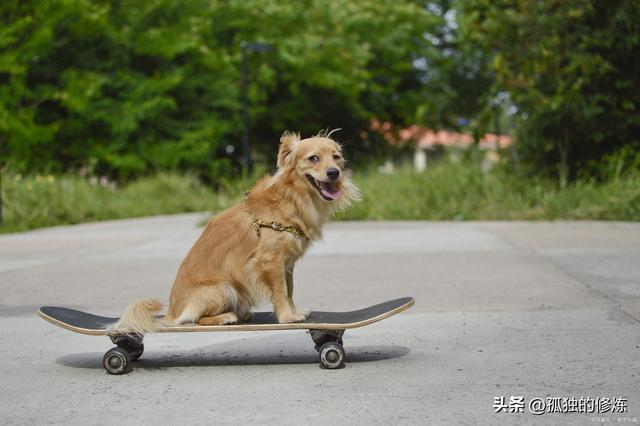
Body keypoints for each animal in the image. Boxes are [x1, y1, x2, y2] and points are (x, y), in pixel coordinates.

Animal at [114, 129, 360, 332]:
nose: (334, 173)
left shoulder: (286, 264)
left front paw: (294, 311)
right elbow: (281, 291)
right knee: (194, 319)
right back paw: (226, 317)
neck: (290, 198)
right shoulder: (270, 261)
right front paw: (287, 317)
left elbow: (289, 290)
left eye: (336, 157)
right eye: (313, 158)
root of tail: (171, 314)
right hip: (224, 288)